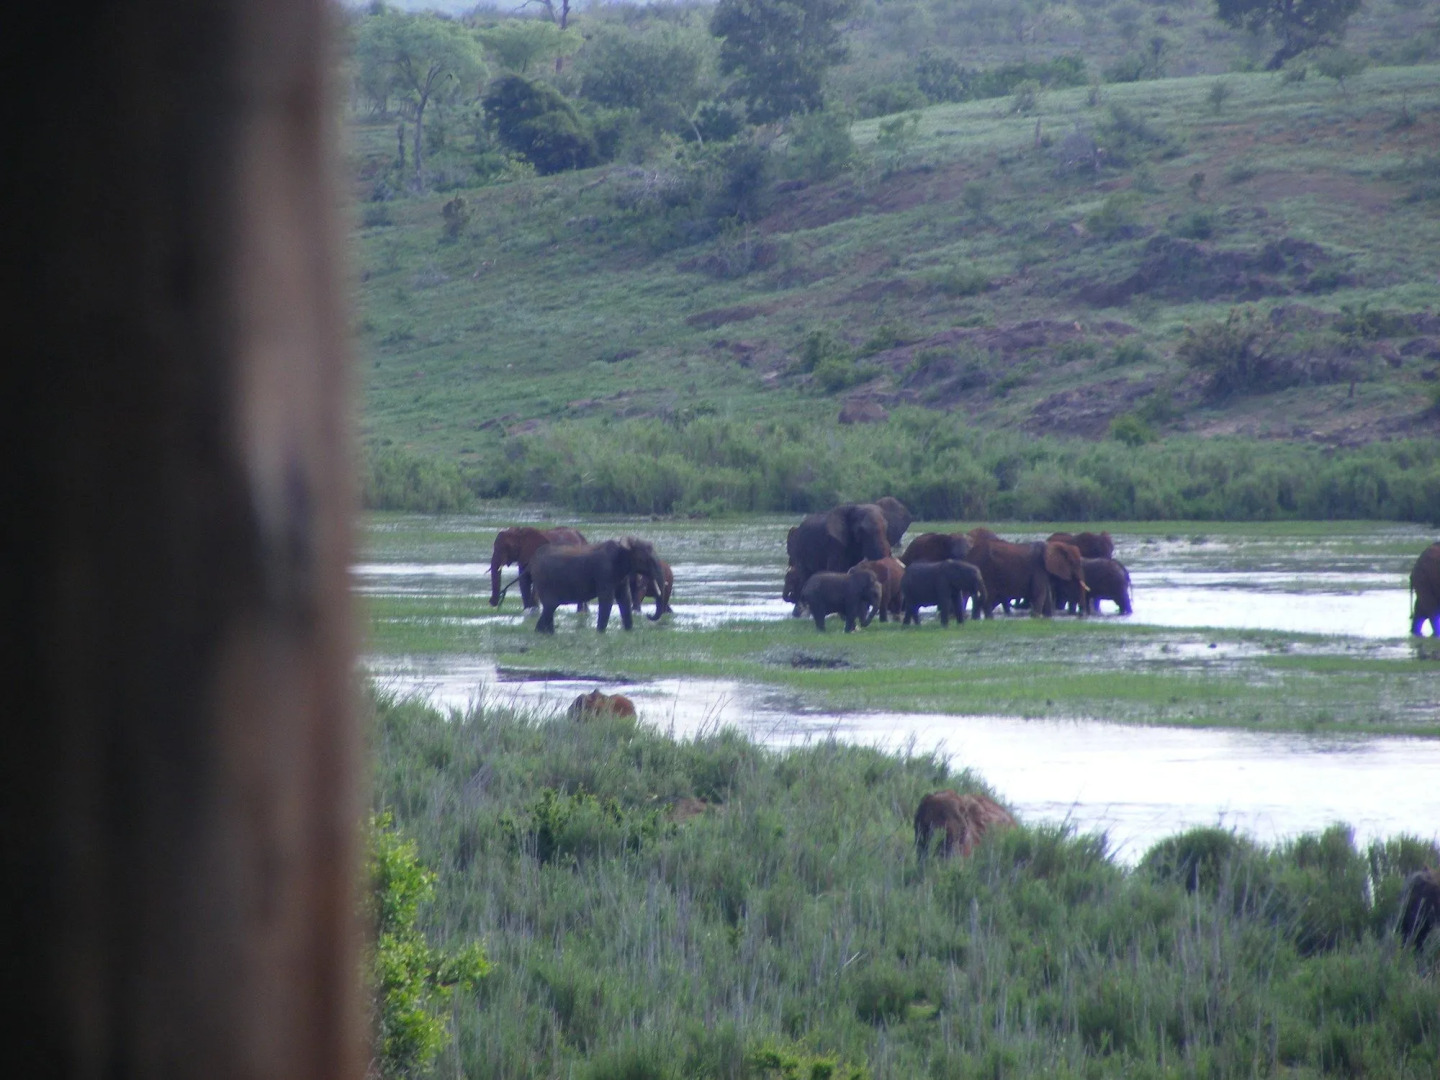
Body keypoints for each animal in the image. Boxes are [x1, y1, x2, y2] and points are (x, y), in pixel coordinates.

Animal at [528, 537, 666, 633]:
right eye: (647, 560)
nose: (648, 615)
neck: (623, 547)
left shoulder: (621, 576)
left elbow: (624, 598)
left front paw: (629, 631)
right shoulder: (604, 572)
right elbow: (607, 599)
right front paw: (600, 633)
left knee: (550, 607)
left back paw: (545, 633)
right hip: (544, 581)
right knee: (550, 606)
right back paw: (542, 633)